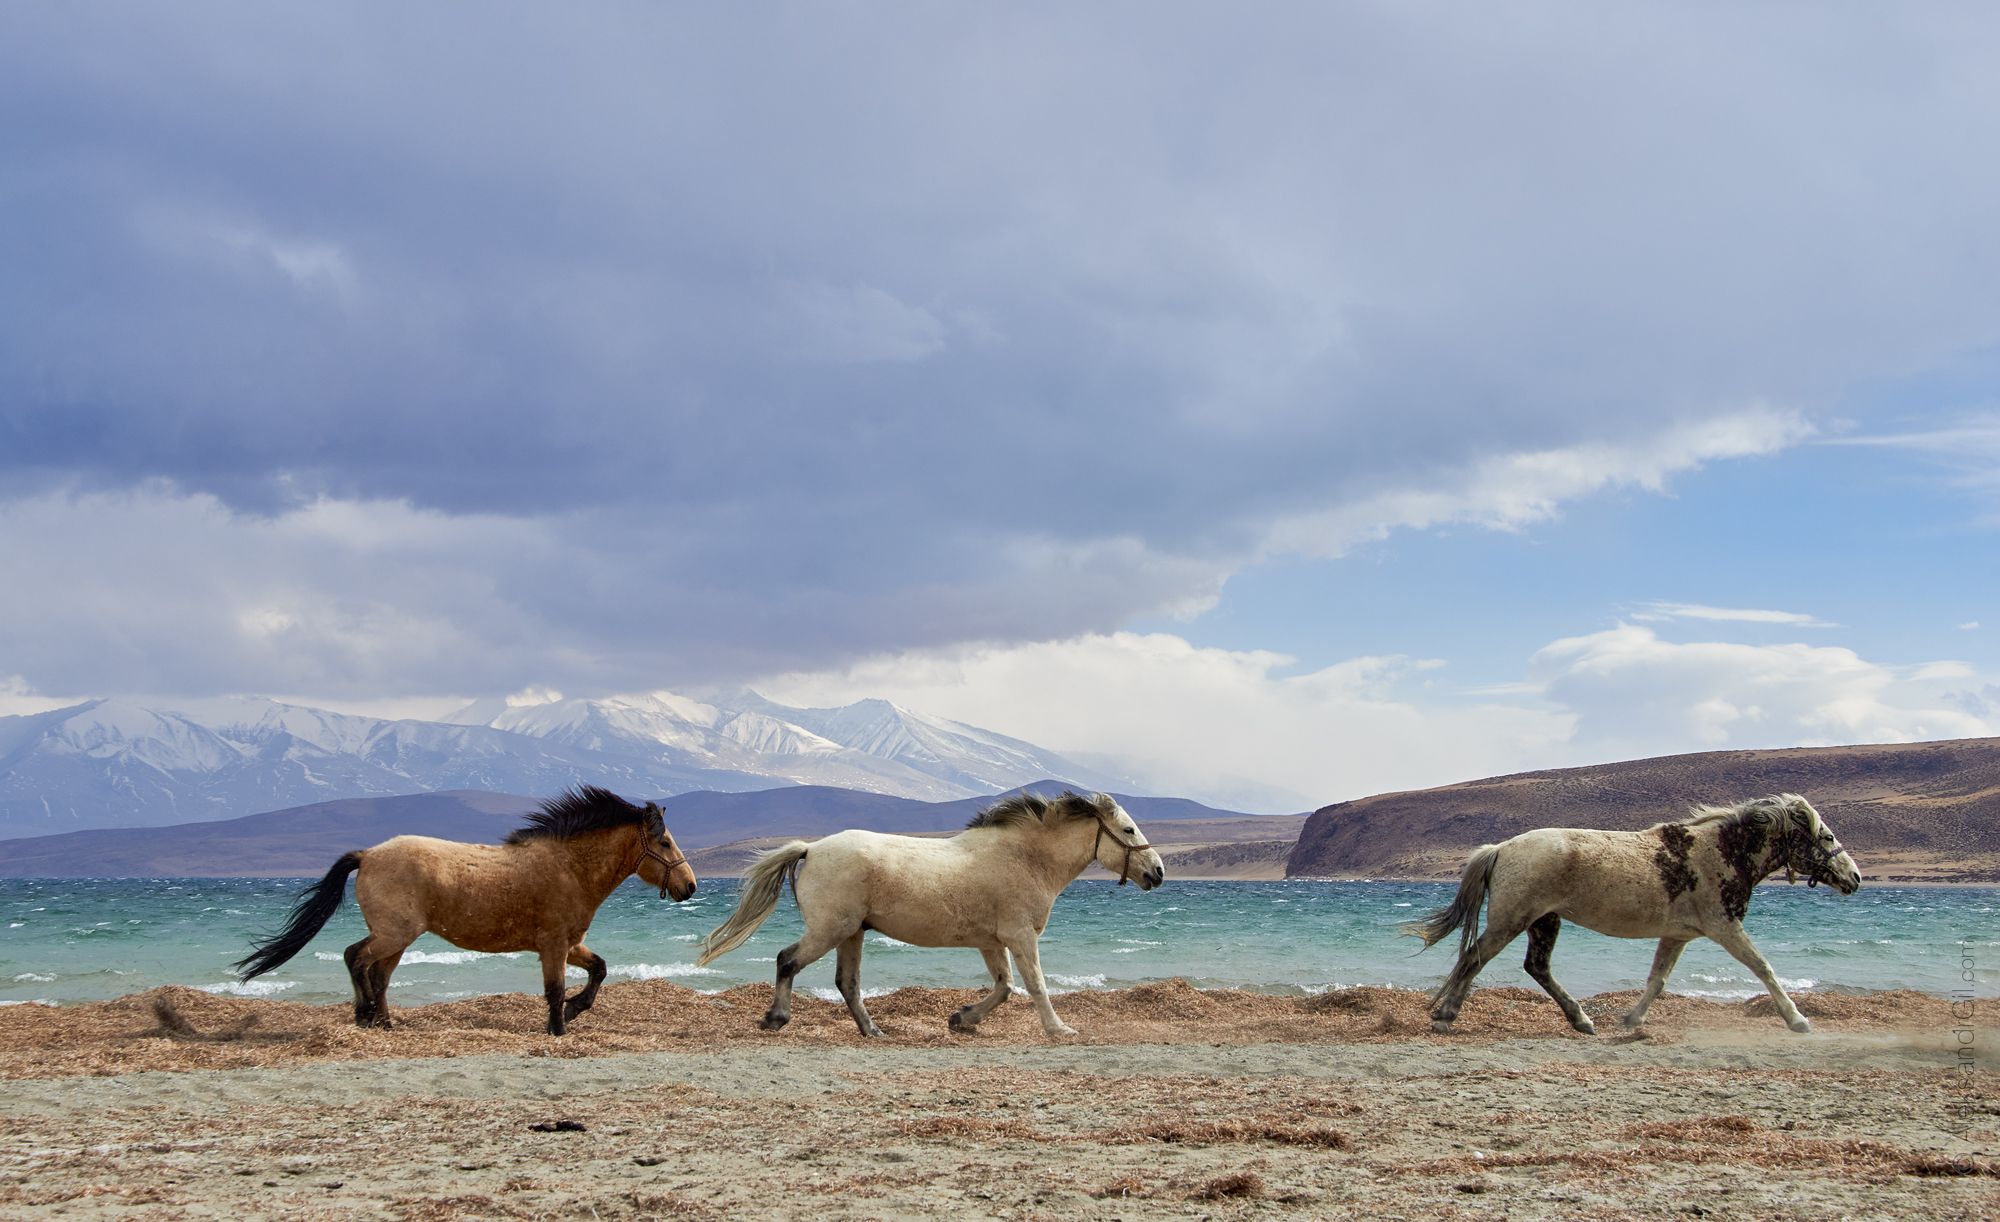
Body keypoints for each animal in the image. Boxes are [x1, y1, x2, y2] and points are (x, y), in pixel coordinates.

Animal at [235, 788, 696, 1040]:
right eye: (666, 843)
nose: (689, 886)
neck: (569, 867)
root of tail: (367, 855)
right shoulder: (552, 945)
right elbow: (553, 989)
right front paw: (559, 1027)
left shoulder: (571, 944)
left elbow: (599, 969)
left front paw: (572, 1011)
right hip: (393, 934)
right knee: (355, 958)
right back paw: (364, 1016)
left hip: (397, 939)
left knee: (378, 974)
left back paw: (384, 1023)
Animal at [696, 792, 1168, 1040]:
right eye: (1128, 830)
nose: (1159, 872)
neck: (1025, 858)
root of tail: (810, 849)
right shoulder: (1020, 936)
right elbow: (1034, 985)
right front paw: (1059, 1029)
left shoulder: (992, 942)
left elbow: (1004, 988)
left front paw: (961, 1019)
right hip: (831, 929)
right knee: (787, 960)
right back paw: (776, 1019)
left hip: (852, 933)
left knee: (847, 982)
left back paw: (873, 1031)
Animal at [1408, 800, 1856, 1040]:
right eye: (1828, 837)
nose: (1854, 877)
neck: (1719, 853)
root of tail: (1500, 848)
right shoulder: (1724, 928)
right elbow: (1763, 967)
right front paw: (1798, 1020)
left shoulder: (1677, 935)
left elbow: (1657, 979)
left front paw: (1632, 1019)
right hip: (1513, 920)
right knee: (1475, 957)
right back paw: (1445, 1016)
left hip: (1544, 921)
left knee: (1536, 967)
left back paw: (1582, 1020)